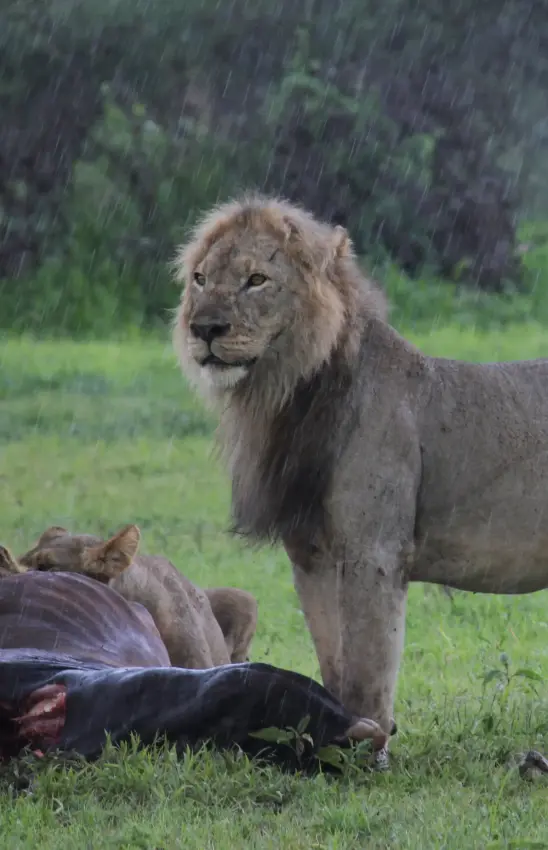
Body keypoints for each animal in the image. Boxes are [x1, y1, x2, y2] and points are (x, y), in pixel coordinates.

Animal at [172, 192, 548, 751]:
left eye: (256, 279)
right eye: (200, 278)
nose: (205, 329)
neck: (287, 397)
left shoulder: (375, 552)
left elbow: (370, 668)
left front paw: (368, 751)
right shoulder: (311, 555)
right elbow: (335, 660)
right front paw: (337, 738)